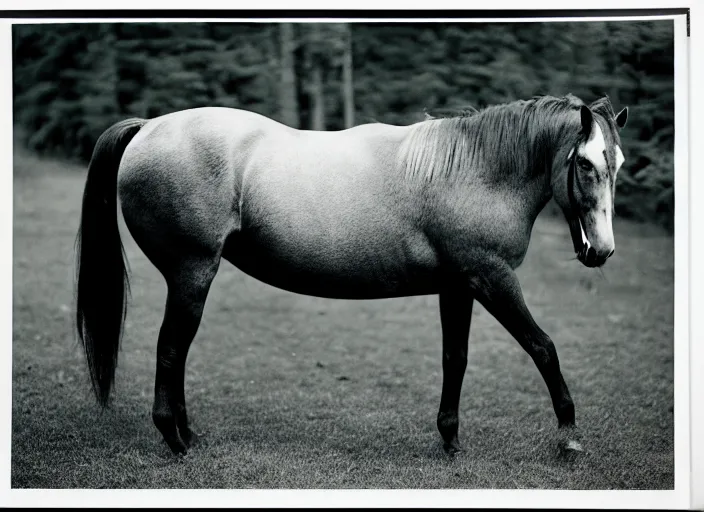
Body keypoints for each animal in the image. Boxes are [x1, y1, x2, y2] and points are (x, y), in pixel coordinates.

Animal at [74, 93, 628, 456]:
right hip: (191, 273)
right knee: (172, 349)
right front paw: (569, 434)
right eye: (584, 164)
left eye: (618, 163)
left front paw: (449, 437)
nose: (602, 250)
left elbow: (456, 359)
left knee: (178, 352)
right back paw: (174, 439)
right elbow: (543, 347)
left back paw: (186, 434)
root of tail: (149, 126)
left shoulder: (459, 286)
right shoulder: (492, 279)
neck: (472, 171)